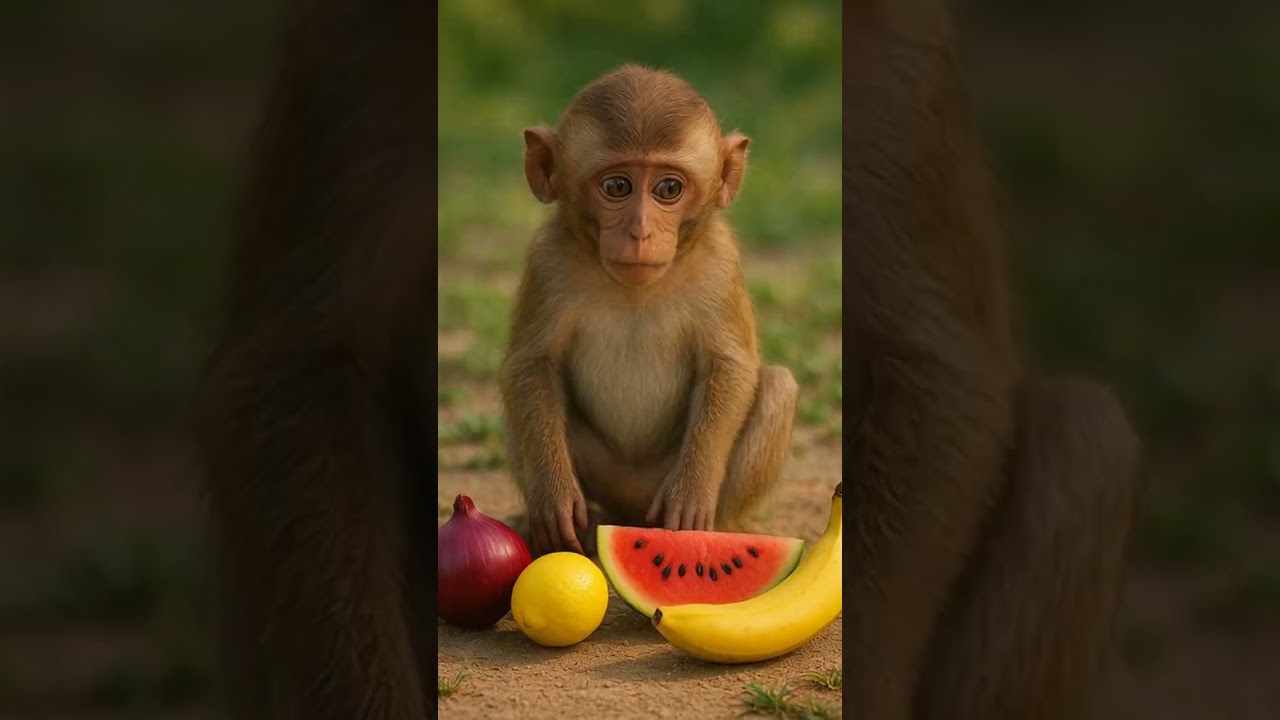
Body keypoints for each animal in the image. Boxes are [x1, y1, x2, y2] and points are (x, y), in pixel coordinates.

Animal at [498, 65, 800, 559]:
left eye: (668, 188)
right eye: (617, 186)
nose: (640, 232)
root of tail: (632, 509)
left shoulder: (721, 261)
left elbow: (730, 366)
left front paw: (692, 494)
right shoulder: (547, 259)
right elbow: (530, 365)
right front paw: (553, 497)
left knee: (777, 386)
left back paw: (719, 530)